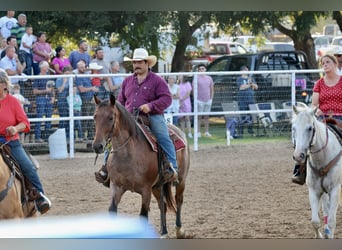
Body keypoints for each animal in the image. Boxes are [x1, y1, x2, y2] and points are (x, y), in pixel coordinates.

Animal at [92, 94, 191, 238]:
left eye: (110, 117)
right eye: (95, 117)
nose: (97, 146)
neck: (128, 155)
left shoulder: (146, 190)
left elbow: (143, 216)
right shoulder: (117, 187)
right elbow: (112, 210)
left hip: (181, 180)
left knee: (178, 200)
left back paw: (179, 230)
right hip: (157, 186)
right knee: (163, 205)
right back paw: (164, 232)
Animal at [292, 104, 342, 238]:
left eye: (310, 128)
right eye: (293, 128)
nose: (298, 156)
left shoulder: (335, 189)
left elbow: (332, 221)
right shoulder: (314, 190)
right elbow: (315, 221)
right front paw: (320, 235)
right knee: (325, 208)